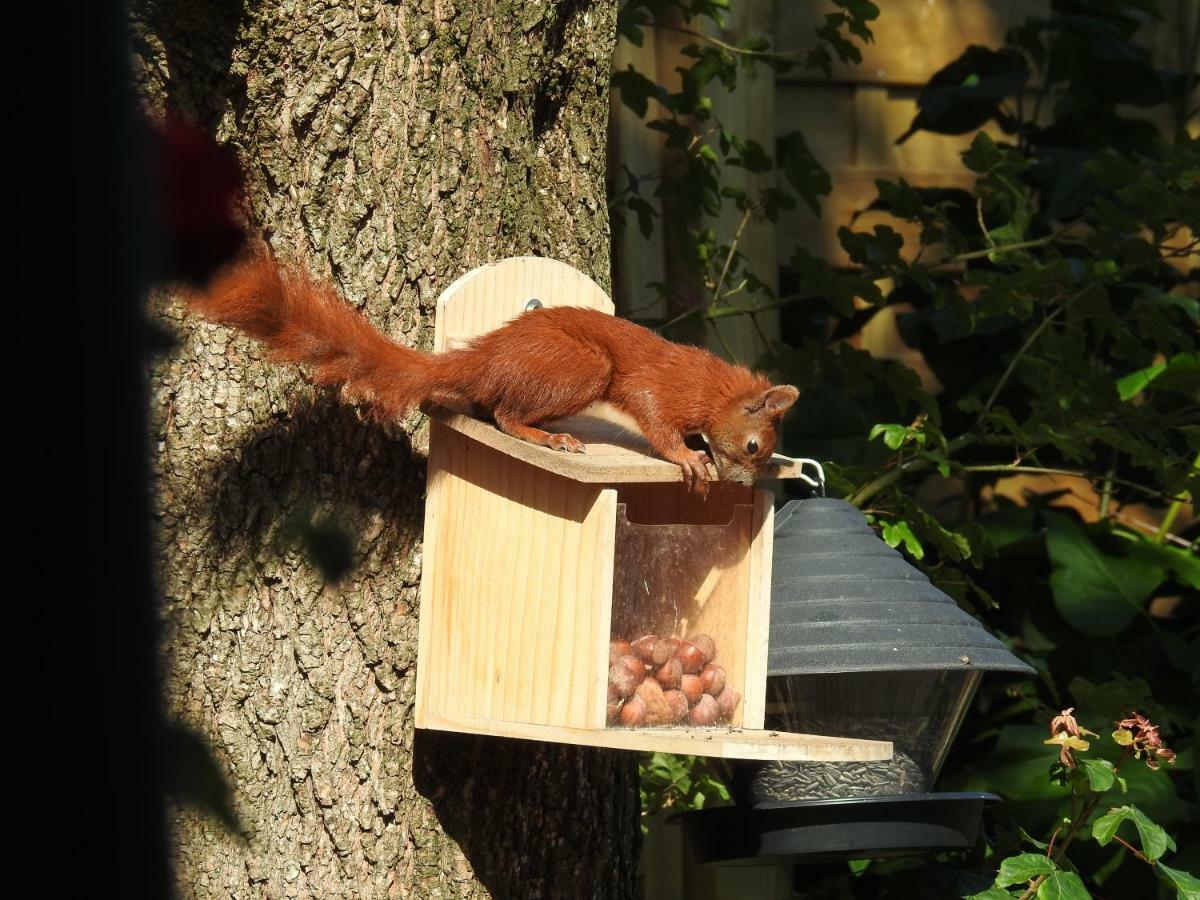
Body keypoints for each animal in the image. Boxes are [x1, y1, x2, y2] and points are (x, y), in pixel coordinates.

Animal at [189, 255, 796, 494]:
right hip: (583, 367)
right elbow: (656, 421)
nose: (745, 488)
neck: (713, 391)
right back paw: (547, 437)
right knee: (504, 413)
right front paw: (688, 458)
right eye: (752, 446)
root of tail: (483, 357)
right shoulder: (660, 388)